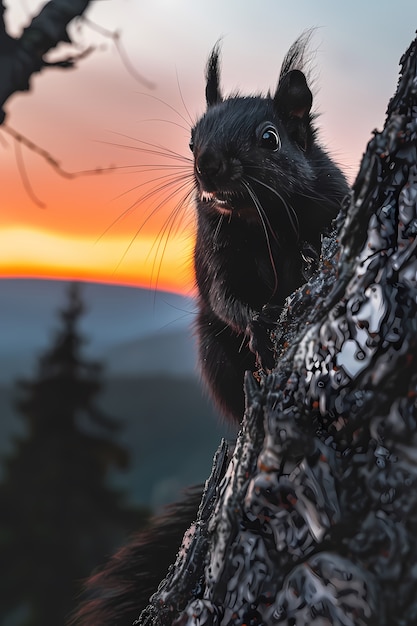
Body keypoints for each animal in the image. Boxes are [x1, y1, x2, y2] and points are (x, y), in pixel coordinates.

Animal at [70, 35, 348, 624]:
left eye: (270, 138)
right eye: (192, 137)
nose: (207, 166)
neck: (259, 218)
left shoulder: (331, 202)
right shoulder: (214, 248)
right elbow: (224, 298)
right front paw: (260, 323)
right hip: (213, 355)